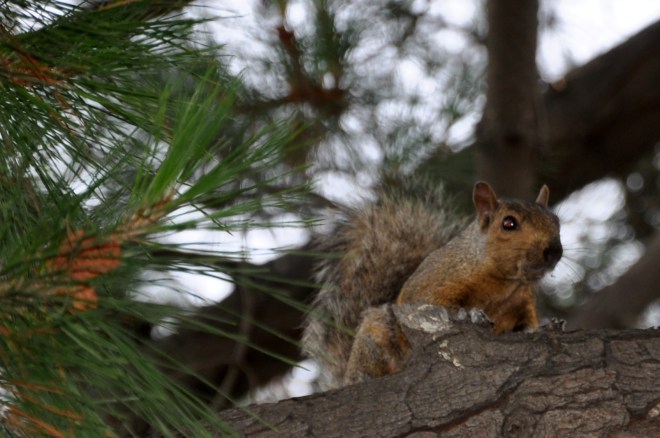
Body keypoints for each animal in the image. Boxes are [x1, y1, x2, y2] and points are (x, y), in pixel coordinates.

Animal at [302, 181, 563, 388]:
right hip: (376, 336)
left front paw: (546, 326)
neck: (506, 284)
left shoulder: (522, 302)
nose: (554, 251)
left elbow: (526, 324)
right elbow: (437, 303)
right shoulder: (433, 282)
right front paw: (471, 315)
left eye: (556, 222)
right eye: (509, 223)